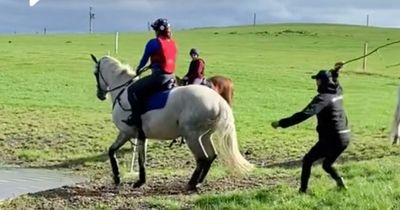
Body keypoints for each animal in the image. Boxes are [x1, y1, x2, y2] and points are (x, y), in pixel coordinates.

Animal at [90, 54, 253, 190]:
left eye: (95, 74)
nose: (100, 95)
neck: (123, 91)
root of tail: (218, 100)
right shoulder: (141, 136)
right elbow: (140, 159)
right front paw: (140, 181)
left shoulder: (126, 132)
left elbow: (112, 151)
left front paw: (117, 177)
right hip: (205, 136)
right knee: (211, 157)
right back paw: (199, 182)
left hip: (192, 137)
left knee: (202, 159)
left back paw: (192, 183)